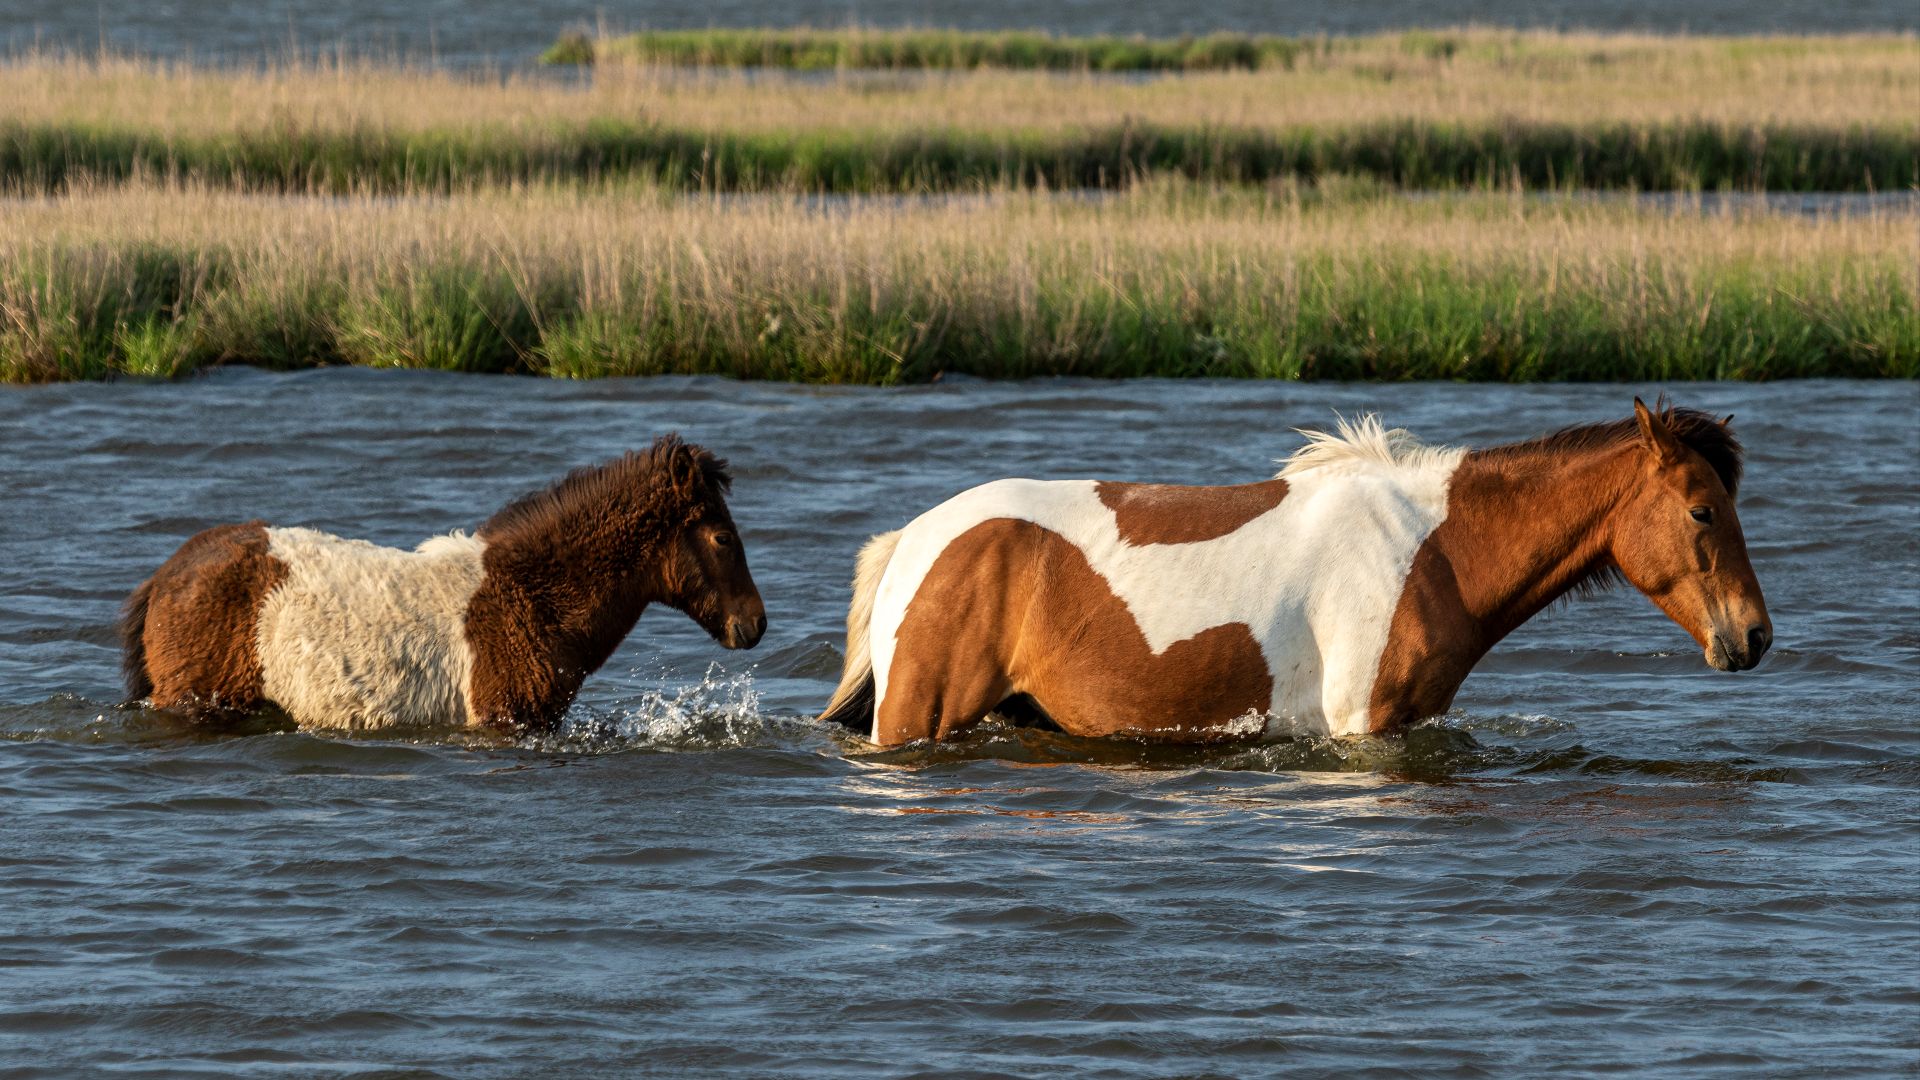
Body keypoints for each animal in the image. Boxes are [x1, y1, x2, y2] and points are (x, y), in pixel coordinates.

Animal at [818, 399, 1771, 746]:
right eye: (1702, 510)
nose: (1754, 636)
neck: (1431, 549)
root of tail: (913, 539)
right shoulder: (1360, 725)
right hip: (917, 715)